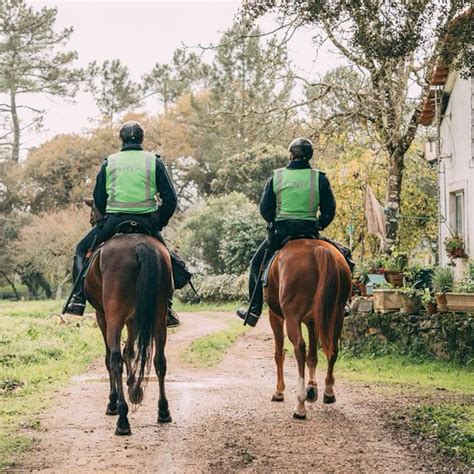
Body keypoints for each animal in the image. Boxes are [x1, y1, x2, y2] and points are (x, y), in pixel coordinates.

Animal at [84, 214, 172, 434]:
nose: (92, 219)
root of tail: (140, 246)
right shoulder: (134, 319)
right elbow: (130, 351)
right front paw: (135, 389)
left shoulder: (102, 316)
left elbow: (112, 357)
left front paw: (114, 401)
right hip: (159, 315)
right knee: (160, 360)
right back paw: (163, 411)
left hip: (113, 316)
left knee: (115, 359)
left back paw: (122, 419)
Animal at [266, 241, 352, 418]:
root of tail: (319, 248)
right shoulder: (312, 321)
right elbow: (312, 356)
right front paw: (312, 387)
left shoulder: (275, 316)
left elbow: (279, 354)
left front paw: (279, 391)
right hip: (337, 314)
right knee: (333, 348)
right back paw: (328, 391)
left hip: (292, 317)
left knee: (299, 348)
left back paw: (300, 404)